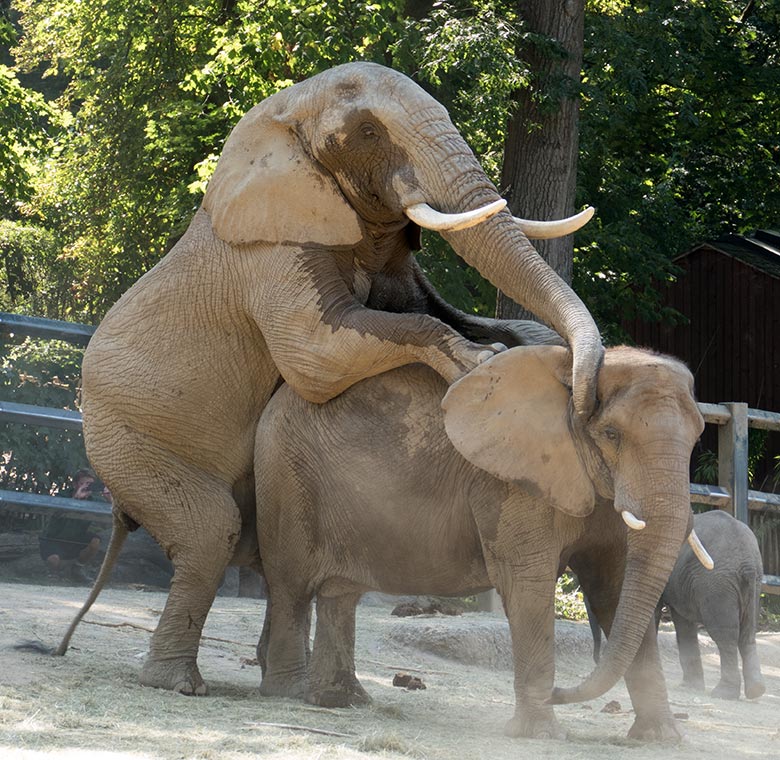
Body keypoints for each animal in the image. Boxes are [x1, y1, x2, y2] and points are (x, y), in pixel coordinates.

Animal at [53, 63, 604, 696]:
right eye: (367, 132)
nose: (585, 405)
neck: (286, 110)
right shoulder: (272, 252)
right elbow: (317, 357)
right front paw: (478, 360)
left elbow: (436, 311)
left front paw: (526, 346)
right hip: (125, 439)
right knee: (211, 529)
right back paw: (179, 684)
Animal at [254, 344, 712, 744]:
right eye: (612, 434)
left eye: (697, 439)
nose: (559, 693)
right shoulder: (512, 484)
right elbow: (528, 584)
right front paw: (541, 735)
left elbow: (615, 591)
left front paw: (662, 740)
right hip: (285, 475)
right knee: (291, 587)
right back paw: (289, 691)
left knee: (340, 594)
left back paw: (341, 700)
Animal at [660, 510, 764, 700]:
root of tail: (748, 564)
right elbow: (683, 622)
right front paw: (691, 687)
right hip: (753, 583)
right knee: (747, 633)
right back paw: (756, 690)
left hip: (717, 584)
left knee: (725, 634)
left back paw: (723, 693)